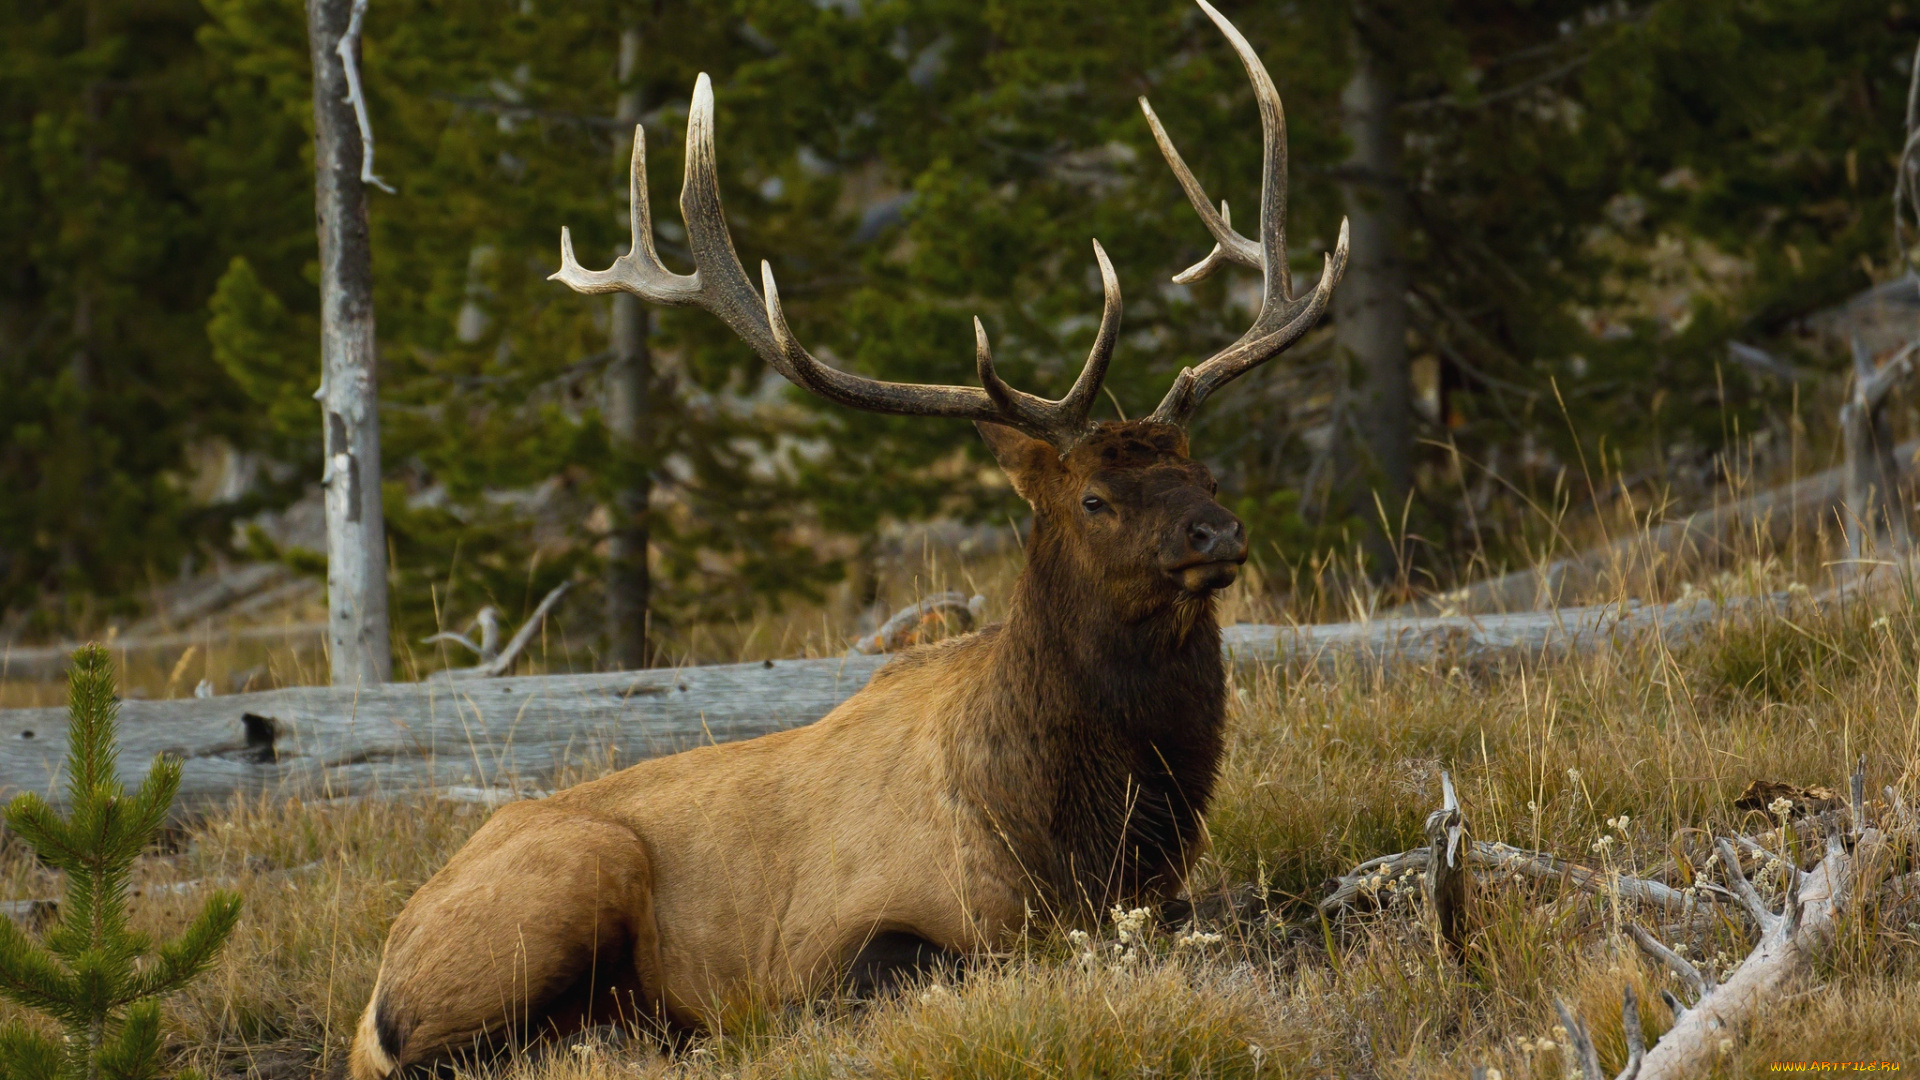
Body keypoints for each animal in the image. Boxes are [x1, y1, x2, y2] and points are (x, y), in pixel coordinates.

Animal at [353, 4, 1344, 1068]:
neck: (1073, 834)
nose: (1219, 531)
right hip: (569, 877)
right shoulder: (830, 942)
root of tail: (372, 994)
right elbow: (917, 972)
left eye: (1206, 475)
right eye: (1094, 498)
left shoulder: (1157, 896)